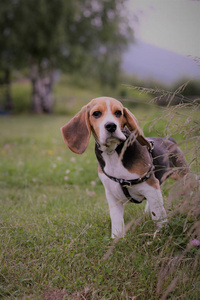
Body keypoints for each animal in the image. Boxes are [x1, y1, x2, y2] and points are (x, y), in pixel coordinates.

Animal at [61, 97, 189, 238]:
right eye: (96, 113)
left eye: (118, 113)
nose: (111, 126)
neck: (113, 152)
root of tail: (169, 139)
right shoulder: (111, 193)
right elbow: (116, 219)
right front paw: (117, 239)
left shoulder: (151, 186)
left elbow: (158, 215)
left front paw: (160, 234)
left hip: (183, 176)